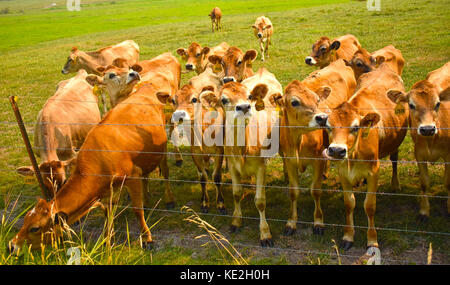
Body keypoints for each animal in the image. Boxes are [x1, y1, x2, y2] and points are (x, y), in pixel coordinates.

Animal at [8, 79, 176, 252]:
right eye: (25, 219)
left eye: (34, 228)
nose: (11, 245)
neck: (99, 158)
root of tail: (148, 86)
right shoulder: (109, 187)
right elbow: (108, 212)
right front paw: (108, 239)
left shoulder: (132, 177)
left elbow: (137, 210)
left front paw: (147, 238)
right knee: (146, 176)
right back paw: (147, 198)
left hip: (162, 147)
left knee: (165, 172)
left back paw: (169, 199)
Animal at [170, 67, 225, 212]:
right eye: (173, 100)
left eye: (194, 99)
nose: (178, 115)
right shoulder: (194, 151)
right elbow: (202, 177)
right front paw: (205, 202)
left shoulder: (220, 150)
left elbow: (217, 176)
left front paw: (220, 203)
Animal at [268, 59, 356, 235]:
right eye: (294, 102)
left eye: (317, 100)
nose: (322, 118)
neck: (298, 141)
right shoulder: (289, 161)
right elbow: (294, 191)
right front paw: (291, 223)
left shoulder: (317, 160)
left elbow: (315, 190)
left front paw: (318, 222)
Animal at [322, 63, 410, 250]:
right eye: (328, 126)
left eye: (356, 127)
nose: (336, 151)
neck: (354, 157)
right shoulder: (342, 172)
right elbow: (349, 203)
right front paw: (348, 236)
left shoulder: (374, 171)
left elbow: (369, 205)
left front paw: (372, 240)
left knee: (394, 160)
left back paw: (395, 183)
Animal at [386, 61, 450, 217]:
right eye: (411, 105)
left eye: (438, 104)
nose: (427, 129)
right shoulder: (419, 154)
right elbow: (424, 182)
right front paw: (424, 210)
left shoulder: (449, 155)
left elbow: (447, 182)